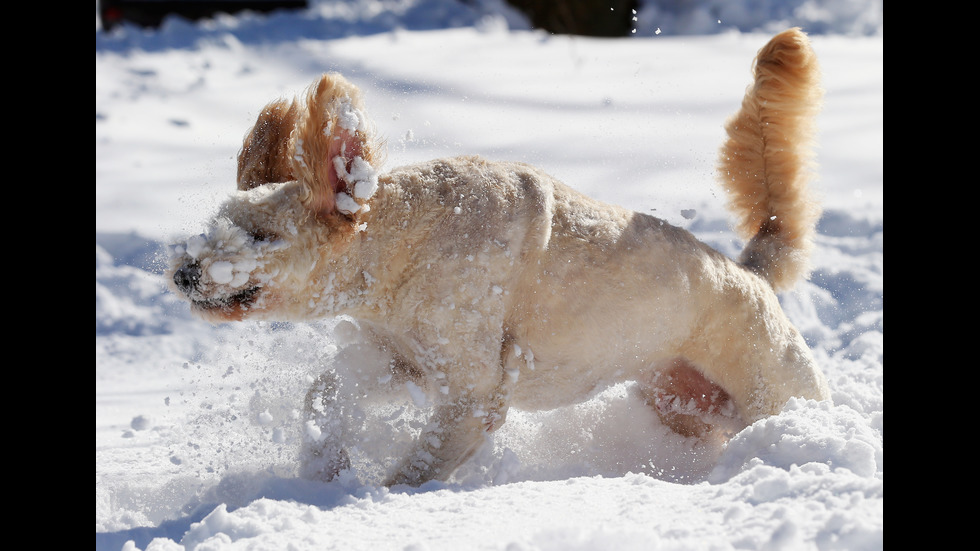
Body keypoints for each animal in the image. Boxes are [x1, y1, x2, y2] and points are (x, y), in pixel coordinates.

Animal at [172, 29, 832, 488]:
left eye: (262, 236)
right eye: (215, 227)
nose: (183, 272)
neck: (408, 240)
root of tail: (749, 272)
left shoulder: (472, 393)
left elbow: (416, 470)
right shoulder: (397, 359)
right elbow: (324, 395)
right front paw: (324, 474)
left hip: (777, 391)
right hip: (681, 403)